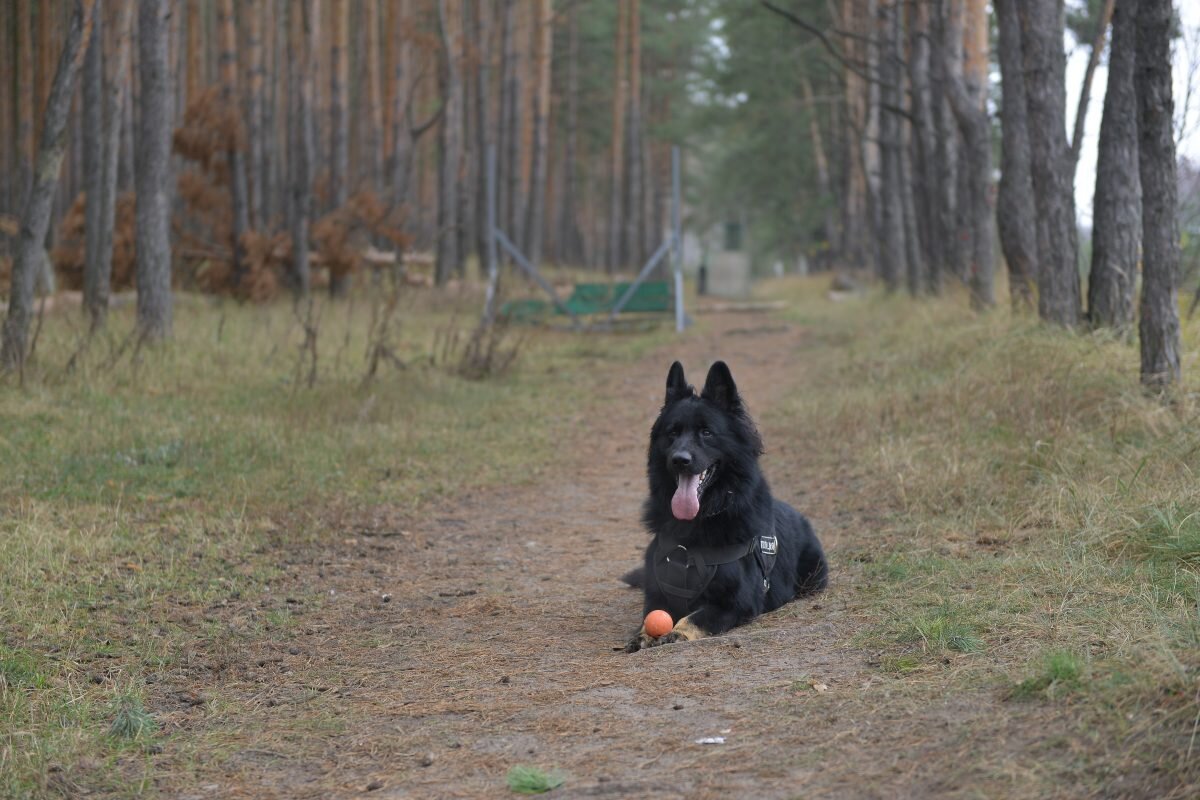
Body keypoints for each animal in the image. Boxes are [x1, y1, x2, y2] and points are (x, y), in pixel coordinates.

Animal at [624, 362, 830, 652]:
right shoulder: (658, 593)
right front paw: (644, 633)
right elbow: (650, 615)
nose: (679, 460)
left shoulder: (735, 603)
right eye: (672, 433)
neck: (696, 527)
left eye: (707, 432)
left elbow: (697, 616)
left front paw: (678, 632)